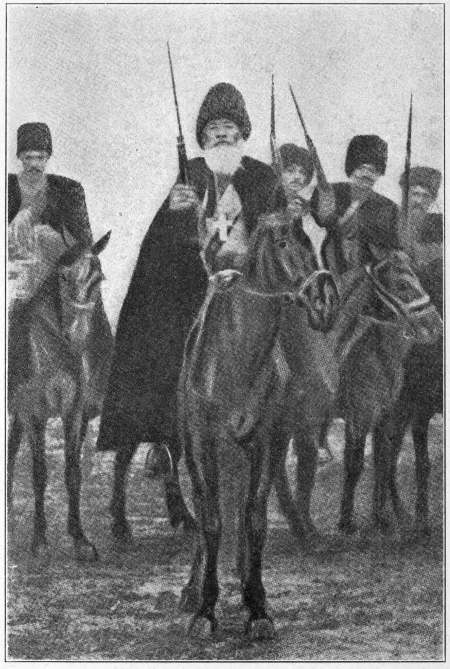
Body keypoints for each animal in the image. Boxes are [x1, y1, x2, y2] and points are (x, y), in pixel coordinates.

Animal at [7, 232, 112, 560]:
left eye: (98, 277)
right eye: (63, 276)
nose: (76, 338)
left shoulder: (73, 412)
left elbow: (72, 472)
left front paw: (80, 539)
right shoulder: (34, 414)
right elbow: (40, 473)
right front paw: (40, 539)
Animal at [178, 211, 340, 640]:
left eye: (315, 241)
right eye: (283, 243)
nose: (324, 300)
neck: (235, 361)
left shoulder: (267, 441)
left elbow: (253, 518)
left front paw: (257, 607)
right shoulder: (203, 444)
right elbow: (211, 520)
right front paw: (205, 610)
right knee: (206, 509)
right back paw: (192, 589)